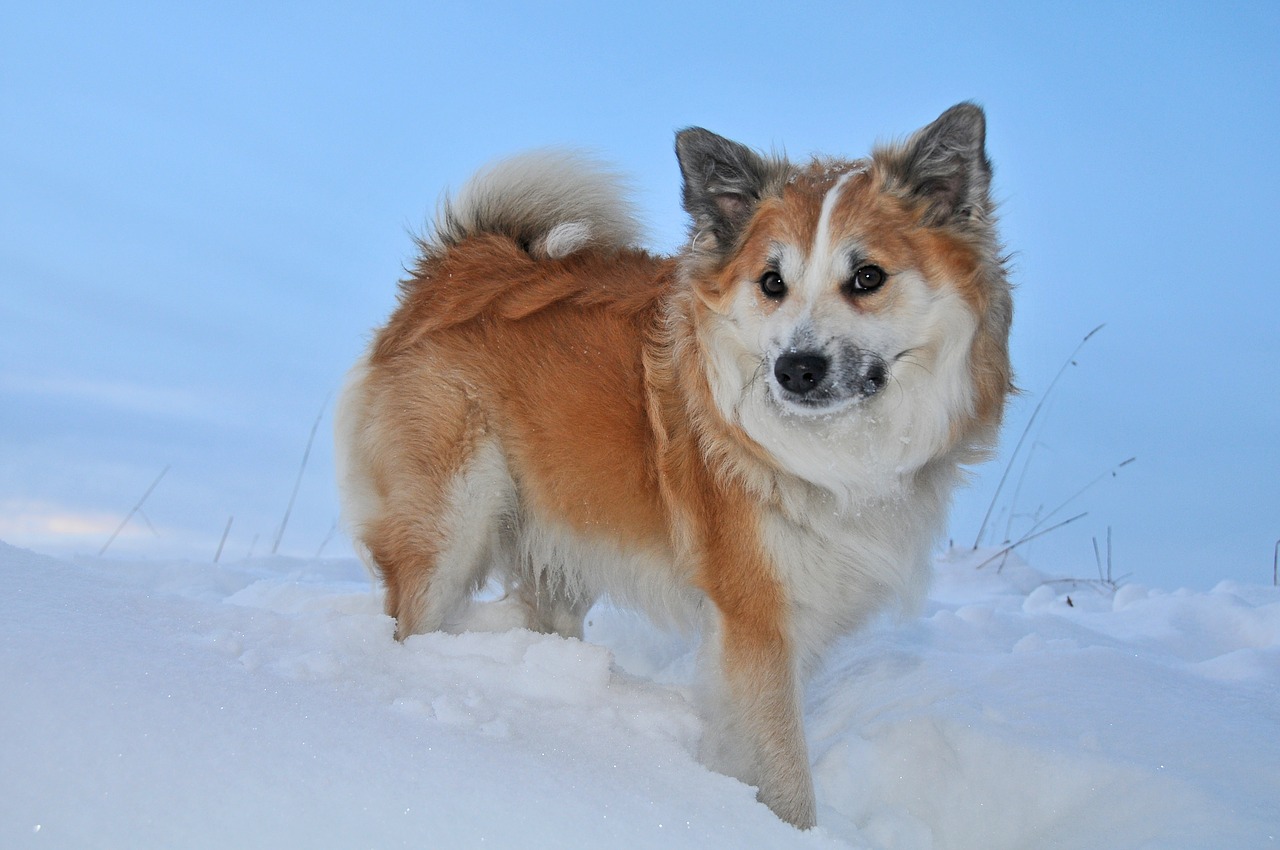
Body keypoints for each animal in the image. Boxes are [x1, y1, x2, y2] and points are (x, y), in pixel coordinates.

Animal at [335, 103, 1013, 824]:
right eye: (772, 283)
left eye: (868, 278)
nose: (795, 369)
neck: (833, 454)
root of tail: (460, 265)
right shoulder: (755, 621)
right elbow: (786, 773)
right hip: (449, 525)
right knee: (415, 616)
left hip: (563, 537)